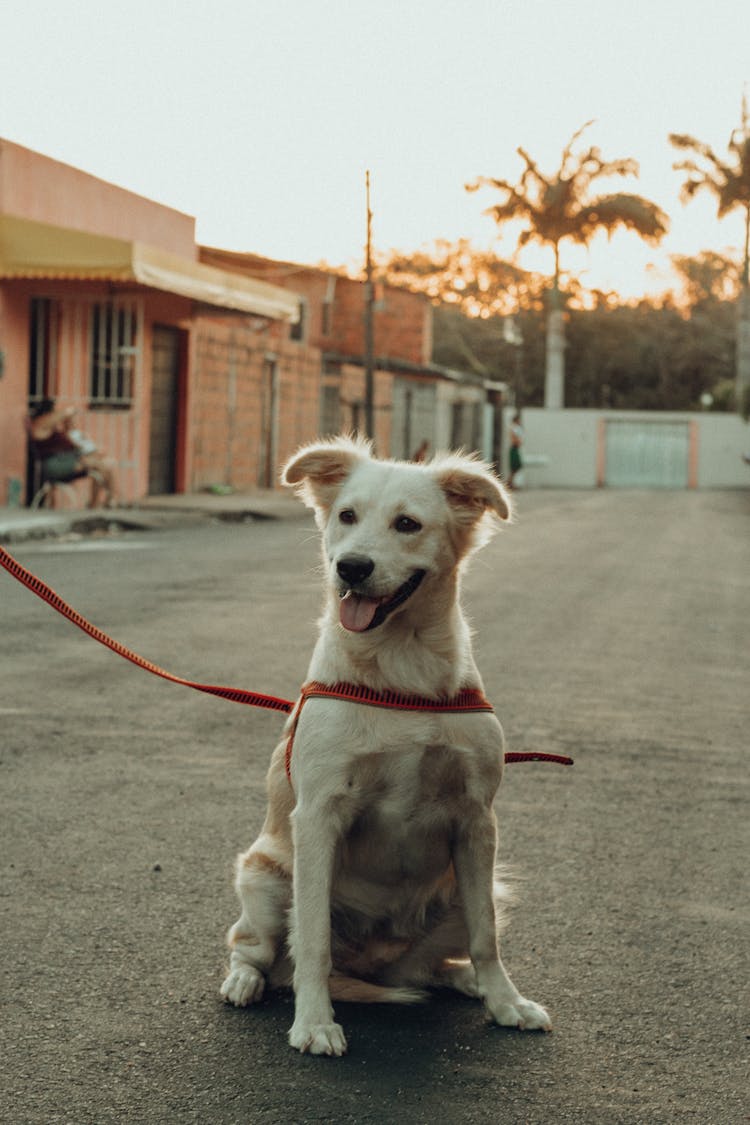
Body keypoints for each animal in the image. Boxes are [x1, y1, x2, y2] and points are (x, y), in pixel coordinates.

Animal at [218, 436, 550, 1053]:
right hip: (265, 876)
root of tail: (373, 964)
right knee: (258, 949)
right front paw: (315, 1023)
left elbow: (487, 935)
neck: (402, 671)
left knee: (433, 963)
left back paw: (465, 980)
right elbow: (312, 940)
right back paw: (245, 982)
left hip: (476, 887)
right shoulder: (318, 815)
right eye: (347, 516)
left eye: (407, 524)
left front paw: (506, 1002)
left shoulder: (478, 820)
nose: (350, 567)